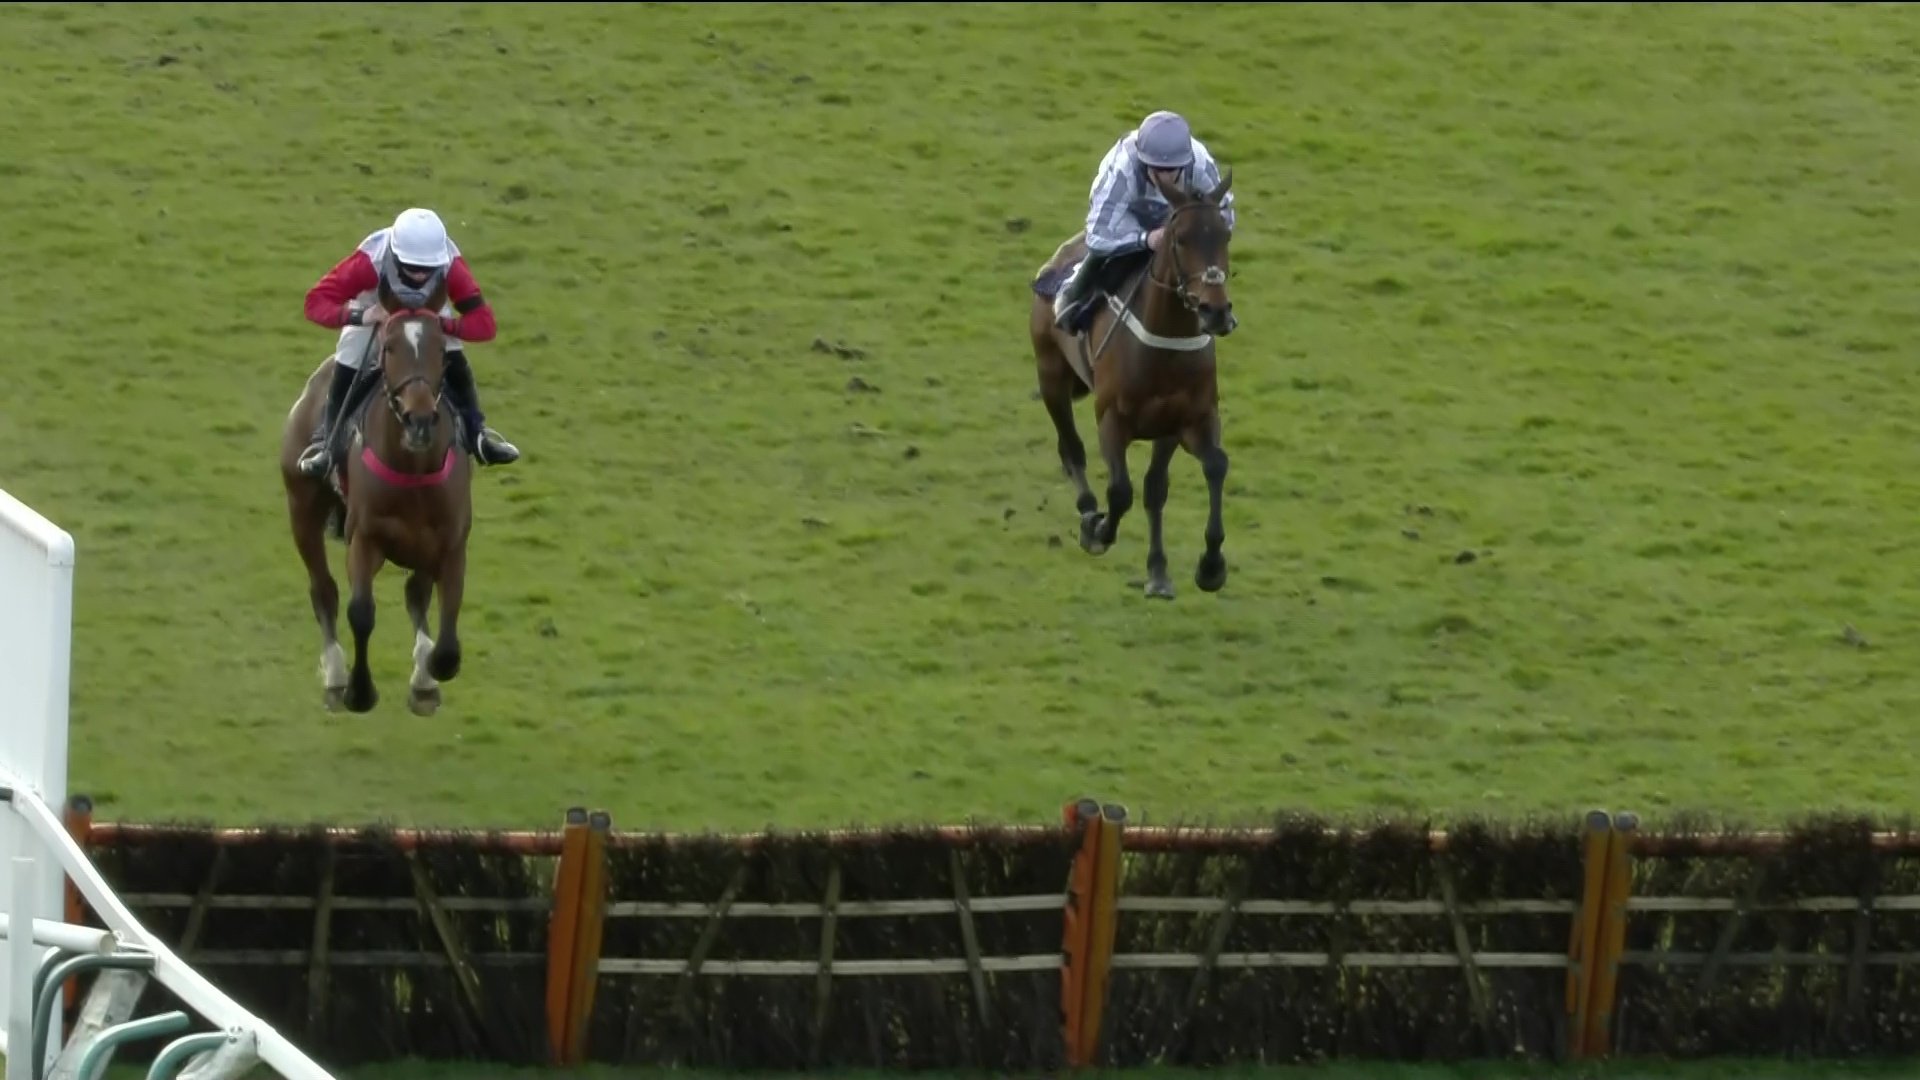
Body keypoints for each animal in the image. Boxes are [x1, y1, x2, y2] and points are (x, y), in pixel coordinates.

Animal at [279, 272, 473, 716]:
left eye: (441, 350)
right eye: (389, 346)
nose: (420, 421)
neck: (413, 467)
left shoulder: (449, 542)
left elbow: (447, 638)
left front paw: (427, 677)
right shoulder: (365, 538)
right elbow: (361, 612)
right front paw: (359, 691)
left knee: (416, 594)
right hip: (302, 509)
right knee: (324, 590)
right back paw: (335, 676)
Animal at [1027, 169, 1237, 600]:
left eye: (1224, 235)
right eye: (1181, 238)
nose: (1216, 311)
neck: (1164, 344)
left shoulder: (1185, 421)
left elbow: (1202, 470)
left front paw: (1204, 566)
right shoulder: (1112, 420)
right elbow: (1121, 491)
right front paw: (1100, 530)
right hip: (1051, 374)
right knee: (1070, 448)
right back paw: (1088, 510)